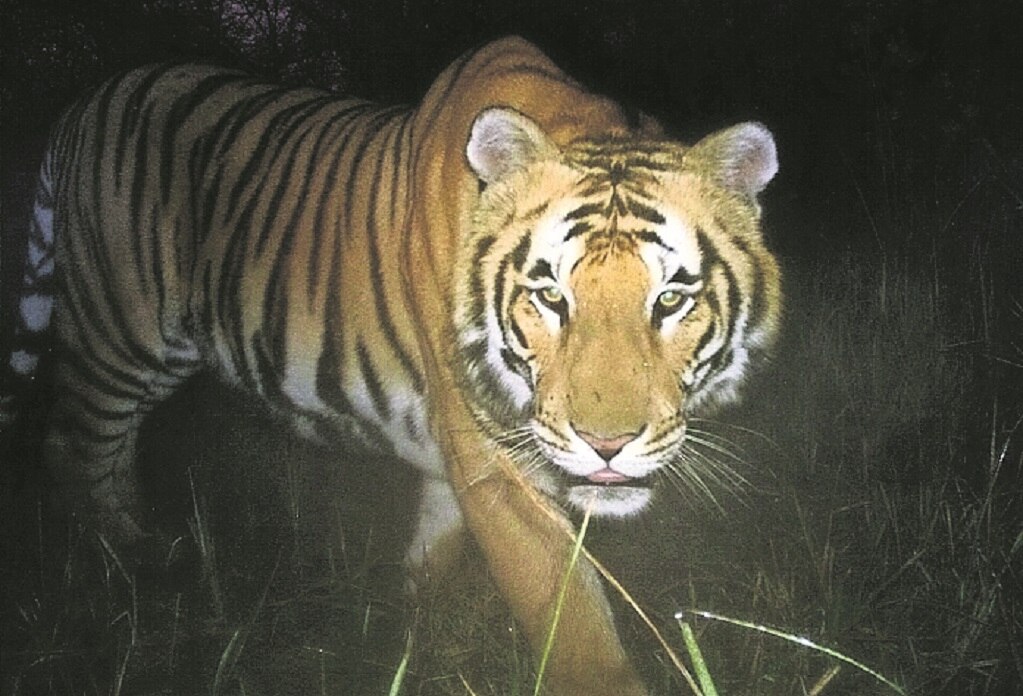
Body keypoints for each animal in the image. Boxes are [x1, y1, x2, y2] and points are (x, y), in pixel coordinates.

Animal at [5, 36, 781, 695]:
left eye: (671, 298)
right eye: (549, 297)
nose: (608, 446)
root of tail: (89, 98)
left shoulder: (459, 460)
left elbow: (434, 551)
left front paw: (412, 635)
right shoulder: (496, 460)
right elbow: (571, 623)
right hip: (121, 331)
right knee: (70, 448)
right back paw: (129, 577)